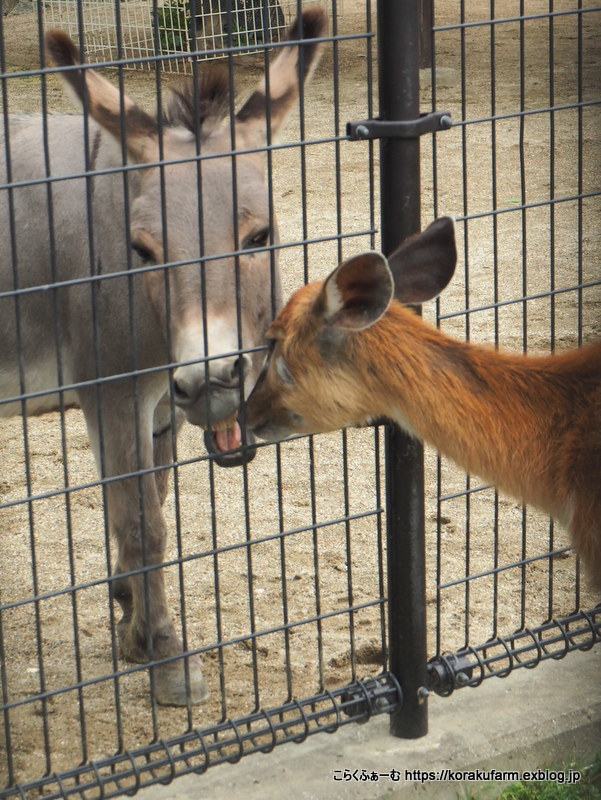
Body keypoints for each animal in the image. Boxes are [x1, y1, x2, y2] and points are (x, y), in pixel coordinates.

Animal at [0, 9, 326, 704]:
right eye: (144, 251)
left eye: (260, 236)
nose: (212, 384)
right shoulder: (111, 391)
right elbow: (142, 523)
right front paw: (163, 651)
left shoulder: (158, 401)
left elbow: (152, 496)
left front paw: (128, 608)